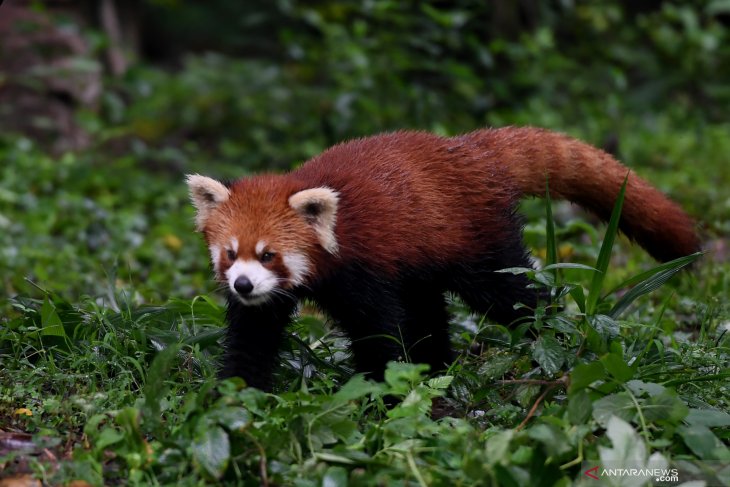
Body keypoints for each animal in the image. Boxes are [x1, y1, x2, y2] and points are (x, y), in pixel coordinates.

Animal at [188, 127, 700, 392]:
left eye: (269, 254)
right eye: (231, 254)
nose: (243, 285)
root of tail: (471, 149)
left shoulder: (363, 270)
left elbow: (380, 332)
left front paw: (385, 390)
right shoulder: (268, 302)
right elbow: (253, 338)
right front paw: (235, 395)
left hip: (478, 243)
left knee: (514, 297)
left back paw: (552, 340)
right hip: (423, 255)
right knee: (429, 309)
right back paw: (436, 365)